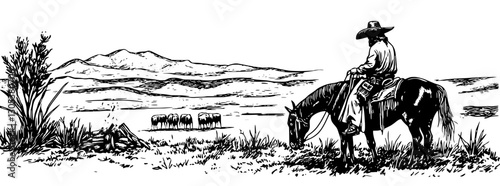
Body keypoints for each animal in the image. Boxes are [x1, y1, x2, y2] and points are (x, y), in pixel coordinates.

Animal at [286, 77, 454, 163]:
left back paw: (412, 160)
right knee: (427, 137)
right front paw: (357, 161)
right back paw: (426, 159)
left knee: (417, 138)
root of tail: (432, 86)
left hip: (412, 120)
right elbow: (356, 143)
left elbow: (345, 144)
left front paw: (344, 163)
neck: (336, 97)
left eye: (291, 123)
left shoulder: (342, 128)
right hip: (426, 120)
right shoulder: (357, 128)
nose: (293, 145)